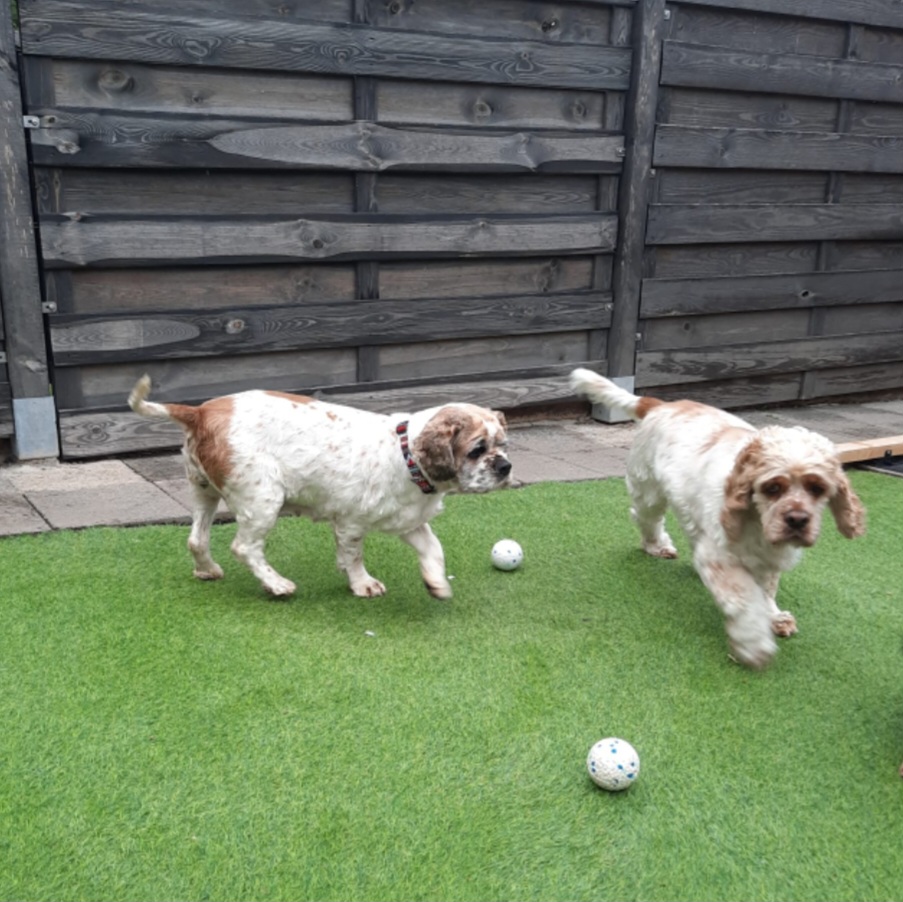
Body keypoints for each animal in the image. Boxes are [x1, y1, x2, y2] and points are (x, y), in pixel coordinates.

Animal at [128, 376, 512, 599]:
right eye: (477, 449)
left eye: (503, 444)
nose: (506, 467)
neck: (405, 453)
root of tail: (200, 412)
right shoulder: (352, 523)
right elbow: (354, 556)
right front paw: (362, 584)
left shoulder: (408, 520)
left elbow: (434, 549)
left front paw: (437, 584)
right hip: (263, 497)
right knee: (244, 547)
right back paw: (277, 584)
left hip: (203, 490)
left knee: (196, 538)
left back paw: (207, 570)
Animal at [570, 368, 866, 668]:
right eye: (772, 487)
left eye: (817, 488)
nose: (797, 520)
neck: (756, 521)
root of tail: (661, 404)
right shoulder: (718, 558)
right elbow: (745, 599)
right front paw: (754, 645)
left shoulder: (769, 558)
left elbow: (766, 589)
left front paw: (775, 616)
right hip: (648, 491)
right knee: (647, 519)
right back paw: (657, 546)